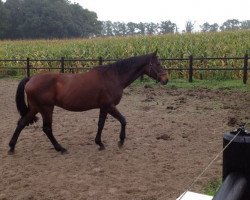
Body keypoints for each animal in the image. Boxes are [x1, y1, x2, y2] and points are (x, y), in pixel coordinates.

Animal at [8, 50, 168, 154]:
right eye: (158, 64)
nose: (166, 79)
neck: (113, 76)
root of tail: (31, 78)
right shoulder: (108, 106)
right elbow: (117, 121)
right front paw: (115, 142)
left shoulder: (105, 107)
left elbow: (109, 122)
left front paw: (106, 142)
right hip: (46, 108)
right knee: (47, 128)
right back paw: (60, 148)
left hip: (35, 108)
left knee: (21, 123)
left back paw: (11, 147)